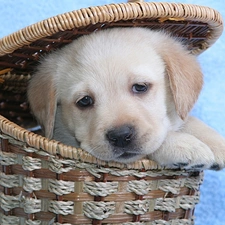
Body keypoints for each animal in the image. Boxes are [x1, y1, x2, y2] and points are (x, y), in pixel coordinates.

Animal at [27, 27, 225, 169]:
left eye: (140, 87)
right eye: (84, 101)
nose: (120, 136)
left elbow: (185, 120)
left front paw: (215, 142)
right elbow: (158, 140)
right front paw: (181, 144)